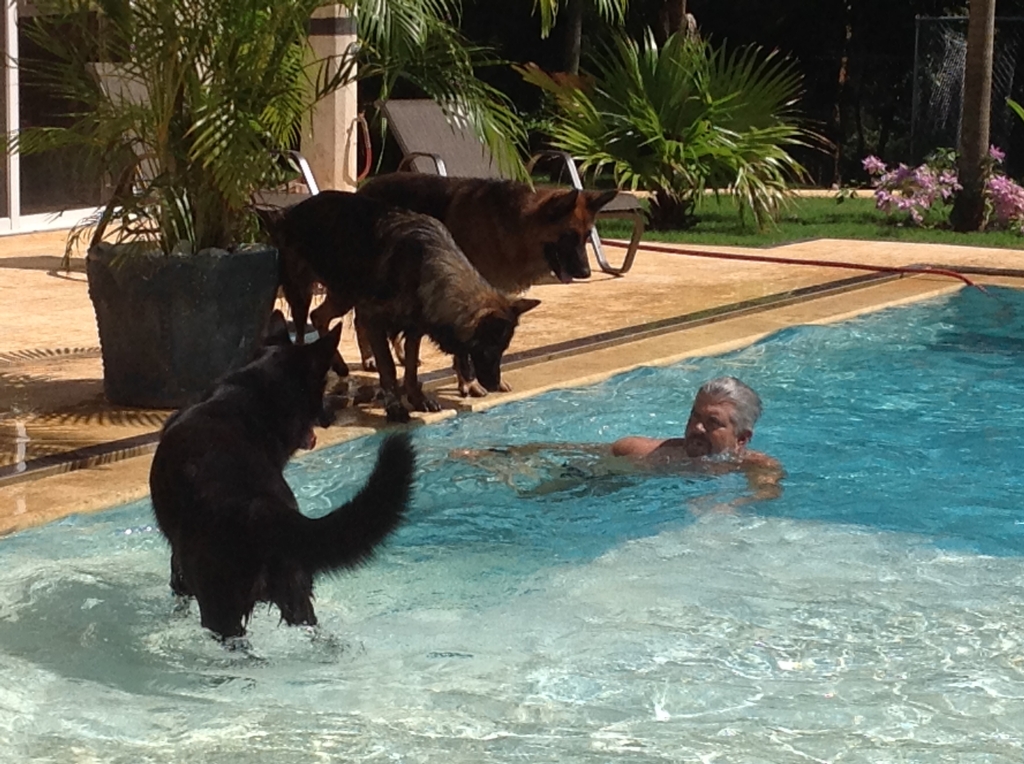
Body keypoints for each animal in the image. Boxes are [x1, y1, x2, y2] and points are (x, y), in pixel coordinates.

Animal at [147, 309, 415, 634]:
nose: (330, 415)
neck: (248, 394)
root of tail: (258, 506)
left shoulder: (179, 564)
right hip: (295, 592)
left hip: (219, 608)